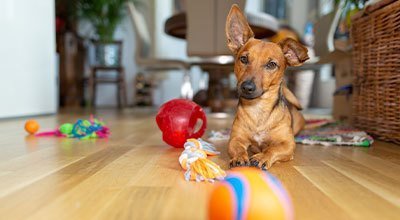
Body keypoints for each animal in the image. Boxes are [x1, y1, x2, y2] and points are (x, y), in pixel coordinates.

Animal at [225, 5, 310, 170]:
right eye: (243, 59)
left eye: (271, 64)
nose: (247, 87)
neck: (258, 109)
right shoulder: (236, 138)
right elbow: (238, 147)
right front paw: (239, 157)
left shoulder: (288, 144)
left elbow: (273, 149)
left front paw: (262, 157)